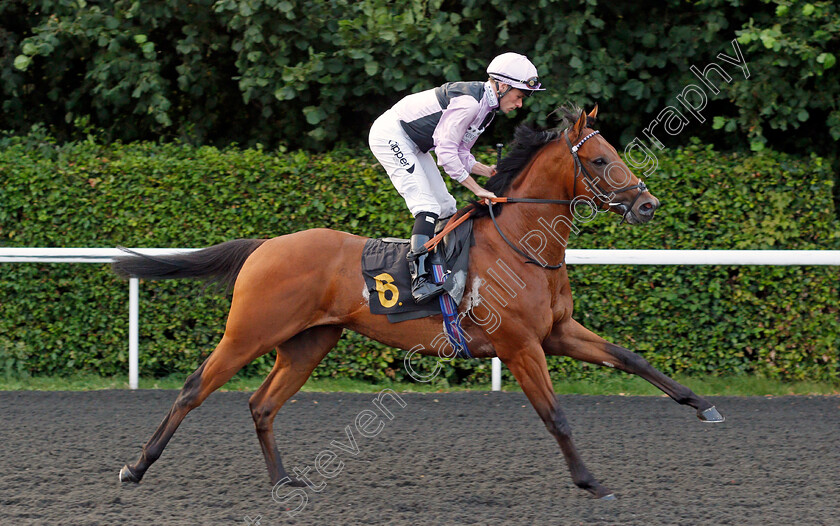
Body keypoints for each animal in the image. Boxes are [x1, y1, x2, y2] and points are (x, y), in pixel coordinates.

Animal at [115, 107, 724, 504]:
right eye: (598, 160)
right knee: (194, 389)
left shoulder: (557, 332)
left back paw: (284, 482)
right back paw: (135, 468)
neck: (522, 244)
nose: (647, 204)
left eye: (615, 154)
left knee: (262, 405)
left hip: (309, 342)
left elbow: (631, 358)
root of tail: (266, 245)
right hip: (249, 332)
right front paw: (591, 482)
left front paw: (702, 405)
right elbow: (556, 415)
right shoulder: (521, 346)